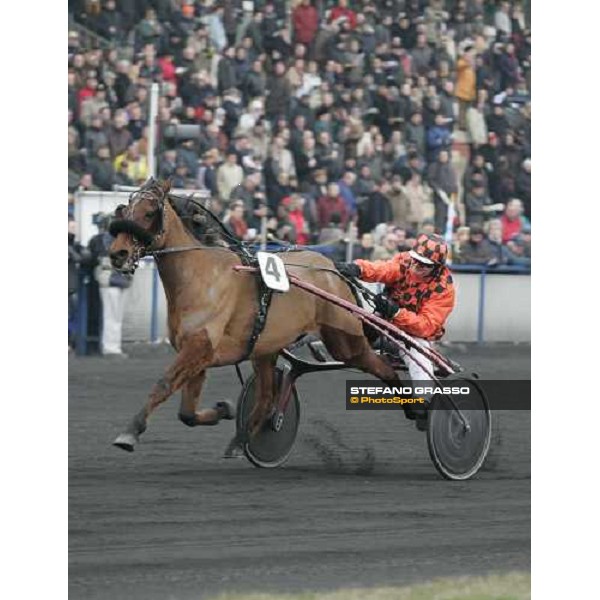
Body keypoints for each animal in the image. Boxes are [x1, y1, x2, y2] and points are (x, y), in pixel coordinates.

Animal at [109, 177, 398, 450]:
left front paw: (130, 431)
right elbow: (187, 414)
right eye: (124, 210)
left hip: (346, 342)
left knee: (385, 369)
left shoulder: (197, 348)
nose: (117, 254)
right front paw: (223, 410)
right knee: (267, 398)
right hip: (266, 349)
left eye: (149, 212)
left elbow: (164, 384)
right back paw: (243, 439)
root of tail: (334, 269)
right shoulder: (198, 355)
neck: (201, 275)